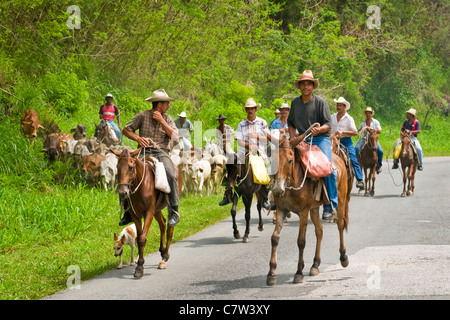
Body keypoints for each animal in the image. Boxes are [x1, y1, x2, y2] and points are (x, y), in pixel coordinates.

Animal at [111, 148, 182, 278]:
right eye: (118, 167)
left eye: (131, 167)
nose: (123, 192)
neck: (141, 185)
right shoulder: (135, 215)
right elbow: (139, 238)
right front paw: (139, 263)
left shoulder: (149, 212)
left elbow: (142, 239)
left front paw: (139, 267)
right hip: (157, 210)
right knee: (162, 224)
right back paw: (162, 251)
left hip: (168, 205)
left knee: (170, 228)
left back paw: (164, 258)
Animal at [266, 132, 350, 284]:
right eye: (273, 159)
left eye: (290, 160)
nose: (277, 189)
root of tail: (339, 159)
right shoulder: (282, 209)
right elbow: (274, 238)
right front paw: (271, 273)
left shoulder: (303, 211)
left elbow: (301, 241)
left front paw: (299, 272)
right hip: (314, 208)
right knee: (319, 231)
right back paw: (315, 265)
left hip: (340, 200)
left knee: (340, 225)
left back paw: (343, 258)